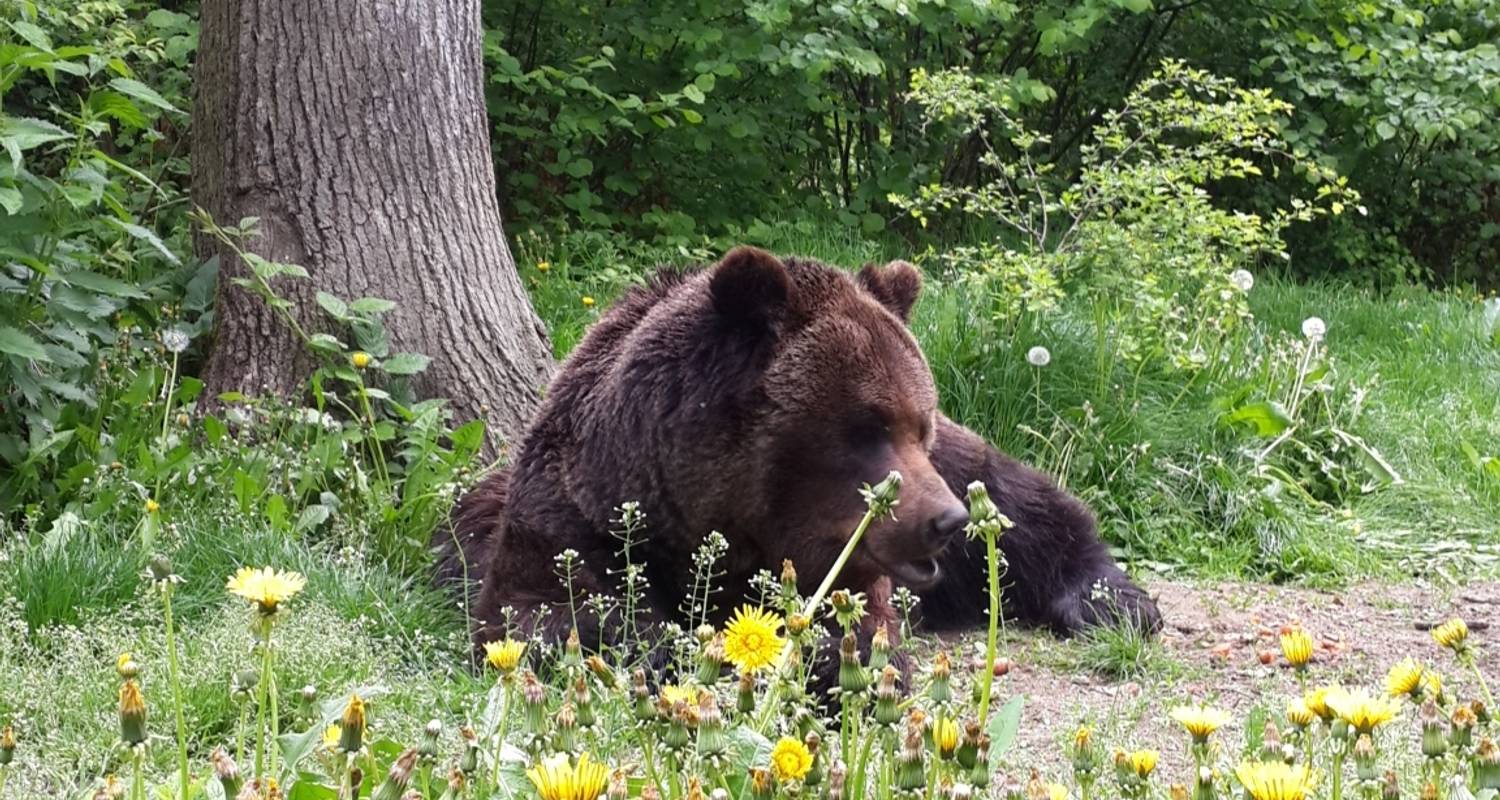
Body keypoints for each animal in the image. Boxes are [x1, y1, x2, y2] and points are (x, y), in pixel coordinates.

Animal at [435, 246, 1158, 663]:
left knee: (1024, 506)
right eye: (867, 426)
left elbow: (858, 625)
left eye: (916, 423)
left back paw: (1109, 600)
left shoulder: (853, 555)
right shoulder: (578, 514)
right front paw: (667, 644)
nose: (945, 520)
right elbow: (546, 610)